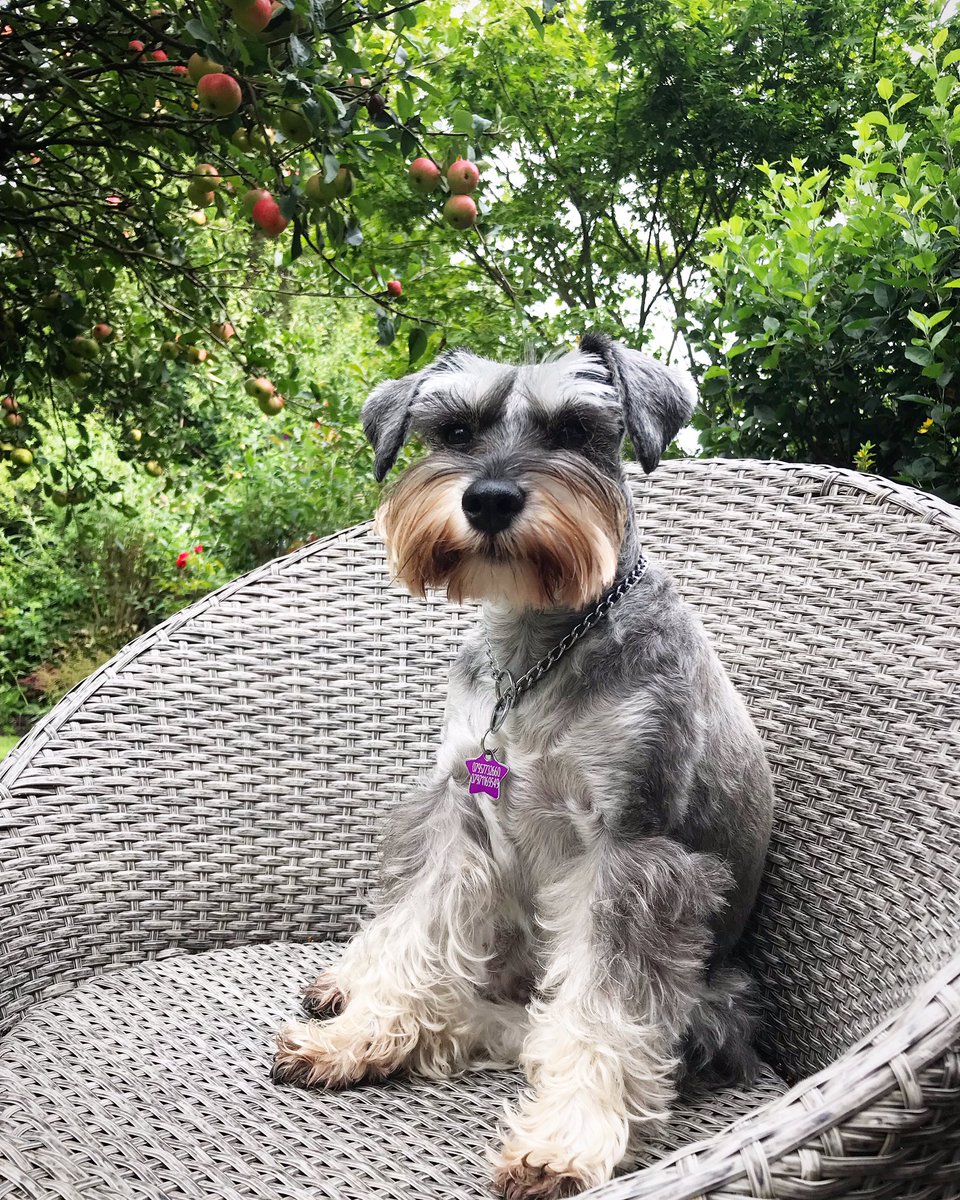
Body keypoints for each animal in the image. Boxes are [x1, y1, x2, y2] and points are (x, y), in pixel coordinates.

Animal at [272, 333, 772, 1200]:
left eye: (576, 430)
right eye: (455, 431)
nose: (491, 500)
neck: (538, 650)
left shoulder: (635, 853)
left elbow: (604, 1008)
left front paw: (566, 1141)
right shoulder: (457, 817)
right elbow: (414, 933)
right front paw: (358, 1034)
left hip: (713, 1002)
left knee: (525, 1022)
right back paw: (351, 991)